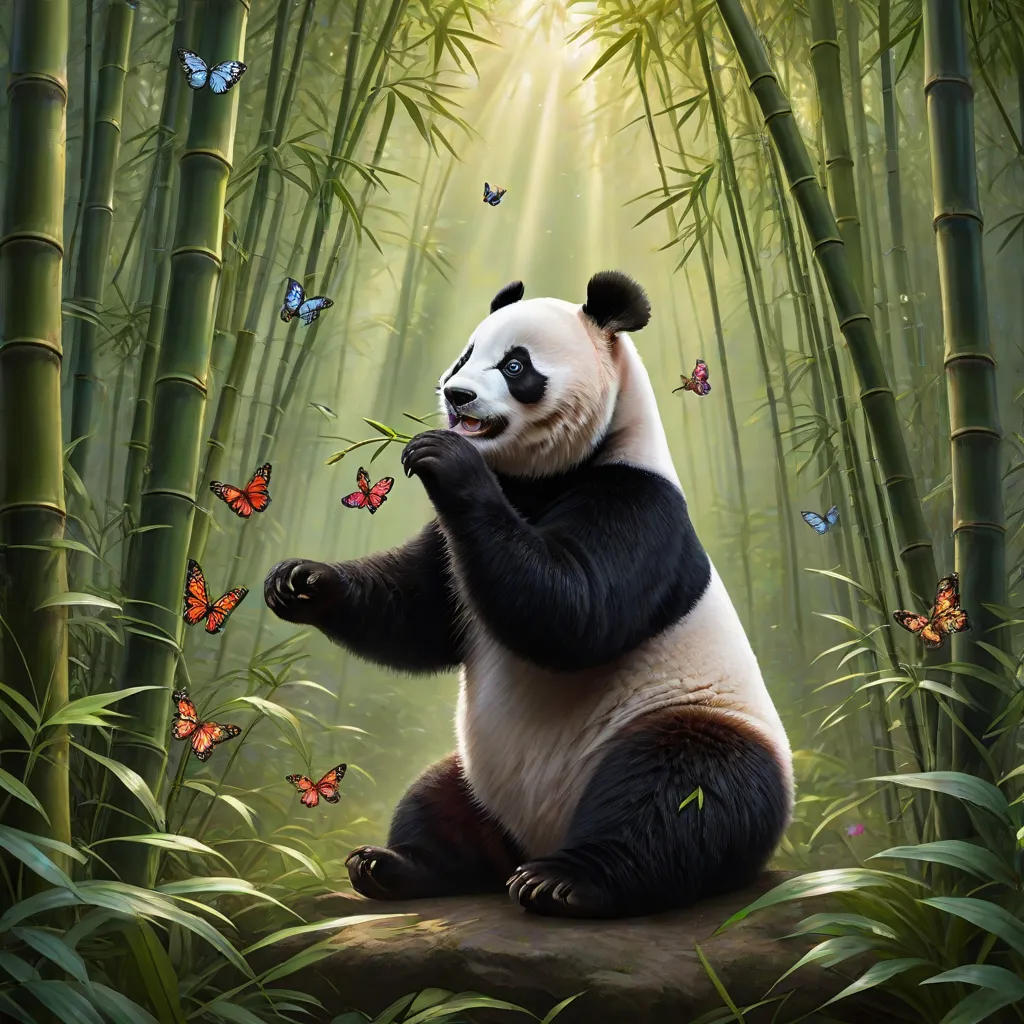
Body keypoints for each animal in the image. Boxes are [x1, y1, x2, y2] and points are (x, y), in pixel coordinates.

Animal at [264, 270, 793, 919]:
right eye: (466, 355)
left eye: (516, 366)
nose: (456, 395)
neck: (546, 478)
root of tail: (539, 837)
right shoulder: (460, 543)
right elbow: (418, 614)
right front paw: (302, 582)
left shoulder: (638, 506)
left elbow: (573, 612)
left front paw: (444, 458)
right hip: (478, 780)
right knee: (436, 798)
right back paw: (391, 866)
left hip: (683, 719)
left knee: (676, 793)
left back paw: (566, 882)